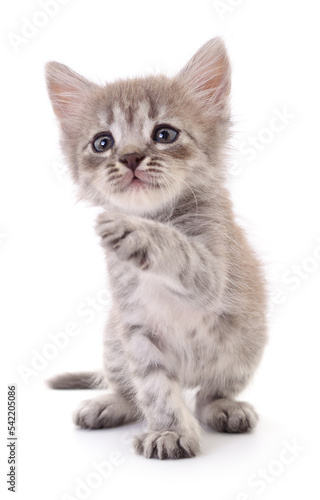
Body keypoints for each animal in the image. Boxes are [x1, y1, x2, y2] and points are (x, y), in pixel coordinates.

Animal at [45, 39, 268, 458]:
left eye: (165, 134)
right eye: (103, 143)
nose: (130, 157)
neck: (159, 214)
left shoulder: (214, 274)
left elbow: (180, 249)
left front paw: (137, 231)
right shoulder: (135, 325)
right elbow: (153, 387)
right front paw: (169, 430)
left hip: (246, 344)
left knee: (207, 395)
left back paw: (225, 407)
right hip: (113, 342)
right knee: (128, 390)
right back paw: (110, 404)